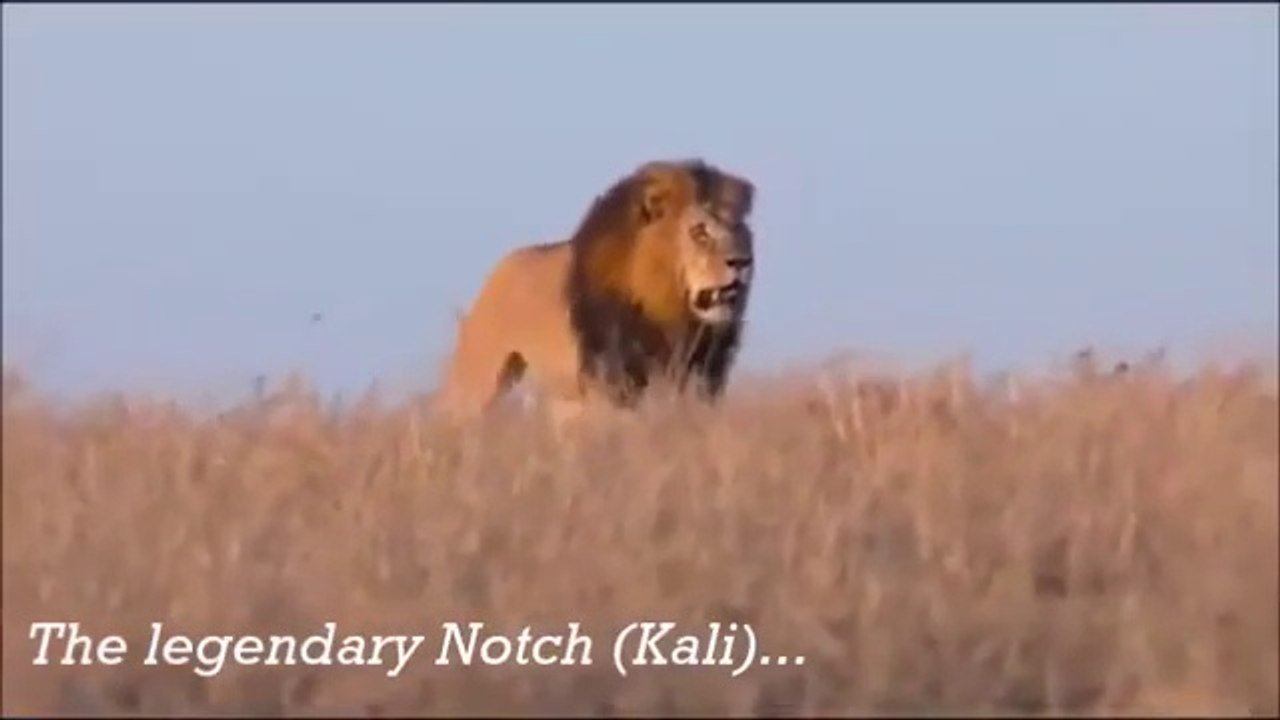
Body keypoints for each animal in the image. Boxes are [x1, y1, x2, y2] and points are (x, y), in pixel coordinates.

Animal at [434, 158, 757, 424]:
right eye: (699, 232)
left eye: (739, 229)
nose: (743, 262)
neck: (670, 311)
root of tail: (500, 266)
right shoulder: (614, 380)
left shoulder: (704, 375)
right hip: (478, 379)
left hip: (565, 401)